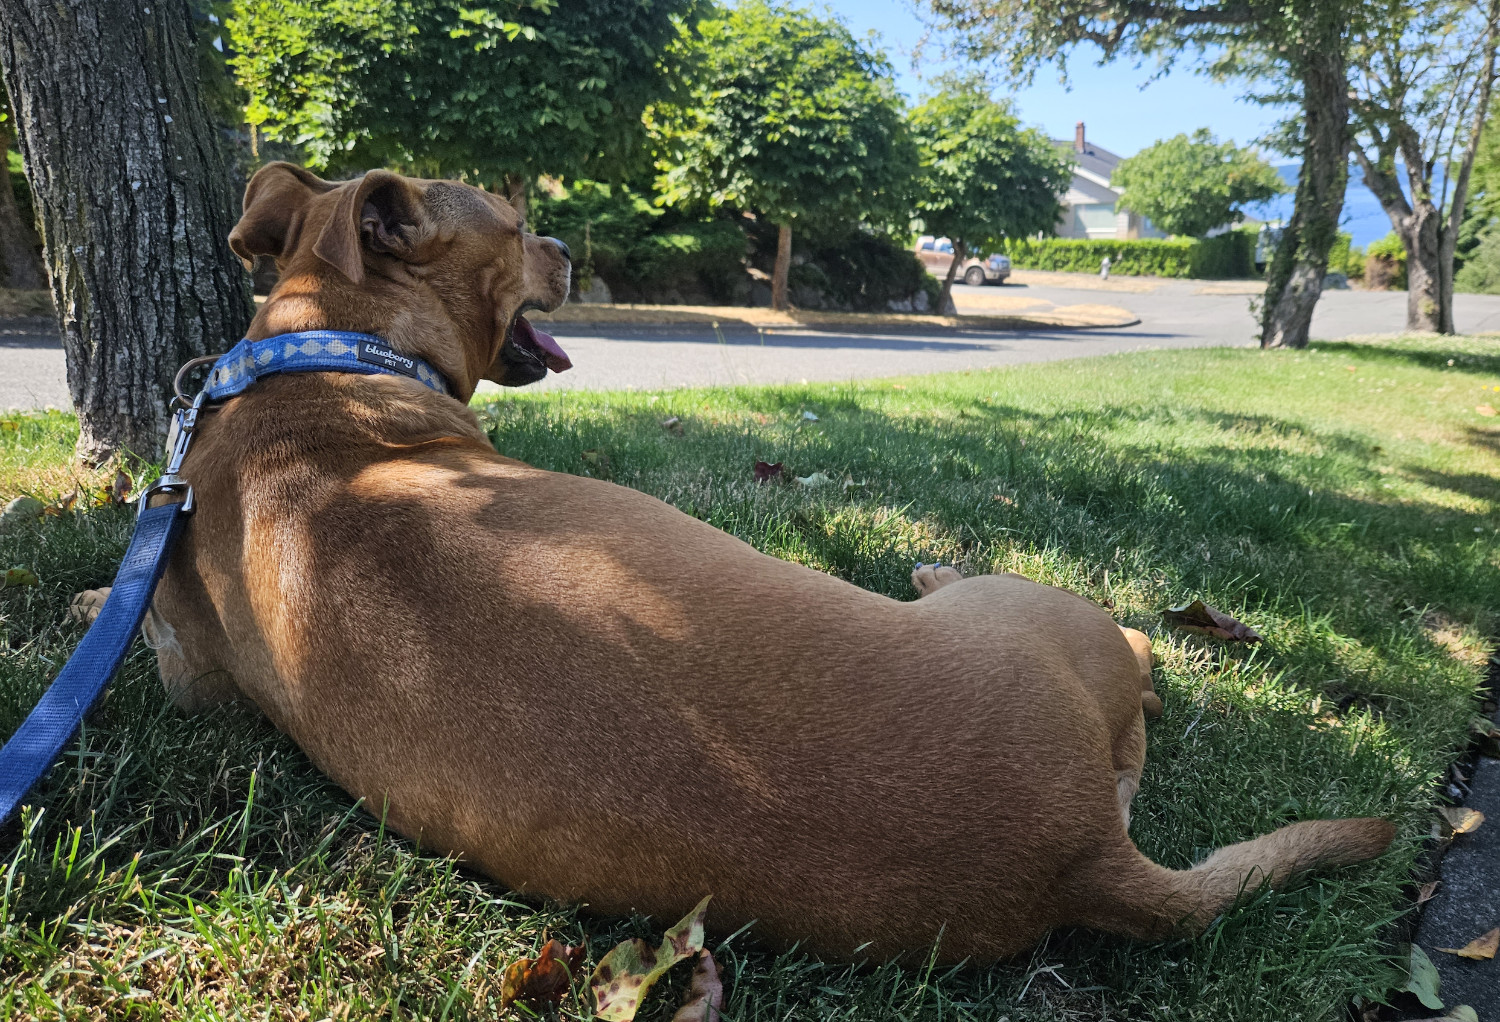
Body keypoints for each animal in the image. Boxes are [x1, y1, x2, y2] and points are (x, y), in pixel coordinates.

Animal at [96, 163, 1392, 960]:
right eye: (515, 228)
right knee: (1123, 650)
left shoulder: (182, 660)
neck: (317, 359)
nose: (564, 241)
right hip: (1032, 607)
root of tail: (1087, 855)